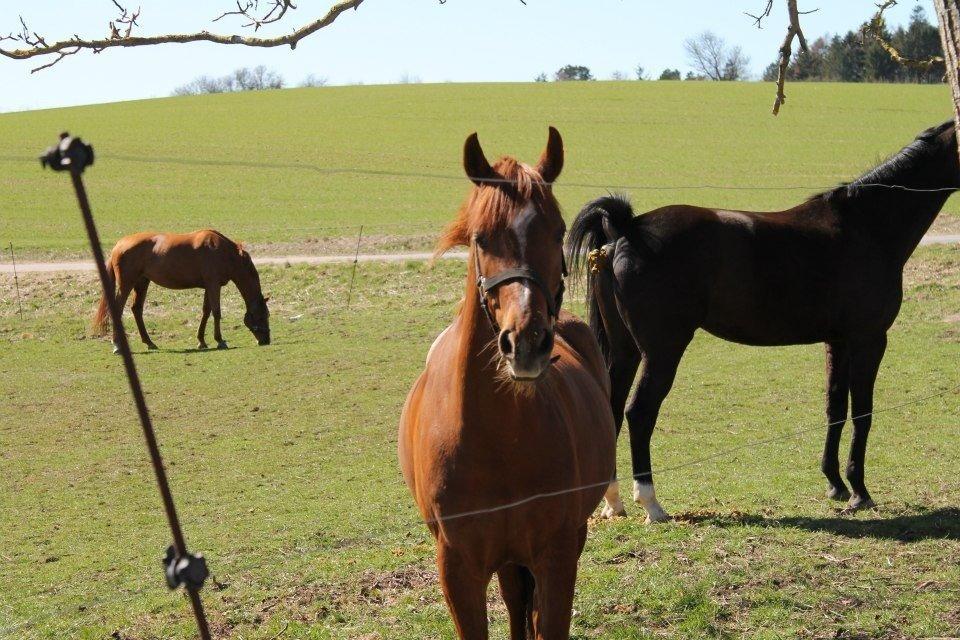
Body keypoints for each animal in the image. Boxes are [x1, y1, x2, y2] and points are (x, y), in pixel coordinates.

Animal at [93, 229, 270, 350]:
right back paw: (117, 344)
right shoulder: (213, 285)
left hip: (142, 282)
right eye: (262, 316)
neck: (223, 252)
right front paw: (220, 340)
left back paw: (149, 342)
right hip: (127, 284)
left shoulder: (209, 286)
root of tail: (119, 245)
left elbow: (206, 312)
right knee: (118, 309)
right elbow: (216, 312)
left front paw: (201, 341)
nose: (266, 340)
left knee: (137, 309)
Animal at [400, 127, 620, 636]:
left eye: (557, 231)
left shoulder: (557, 557)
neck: (498, 438)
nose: (527, 341)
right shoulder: (458, 570)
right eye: (481, 238)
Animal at [568, 122, 960, 524]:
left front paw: (835, 483)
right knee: (640, 412)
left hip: (626, 351)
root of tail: (627, 230)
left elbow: (835, 406)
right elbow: (862, 412)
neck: (867, 226)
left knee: (612, 406)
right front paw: (859, 491)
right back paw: (651, 503)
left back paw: (613, 501)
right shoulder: (869, 339)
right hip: (662, 352)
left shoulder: (838, 341)